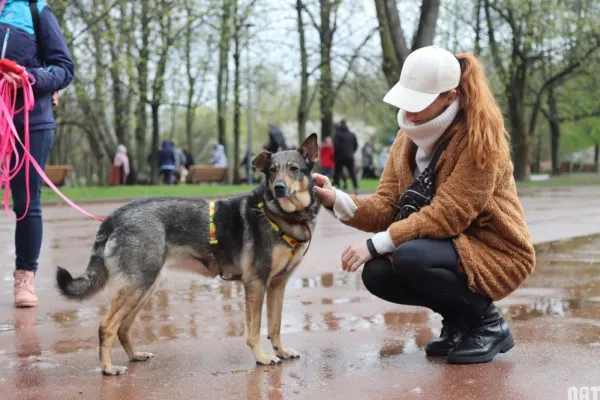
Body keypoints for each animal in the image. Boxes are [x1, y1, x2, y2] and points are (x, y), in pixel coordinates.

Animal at [56, 134, 324, 376]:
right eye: (272, 171)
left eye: (294, 169)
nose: (279, 188)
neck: (277, 214)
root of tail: (117, 215)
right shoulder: (256, 283)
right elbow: (255, 329)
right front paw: (262, 357)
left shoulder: (278, 284)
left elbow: (275, 326)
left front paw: (281, 351)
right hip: (138, 286)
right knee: (107, 327)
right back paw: (108, 368)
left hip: (145, 287)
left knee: (123, 327)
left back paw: (134, 356)